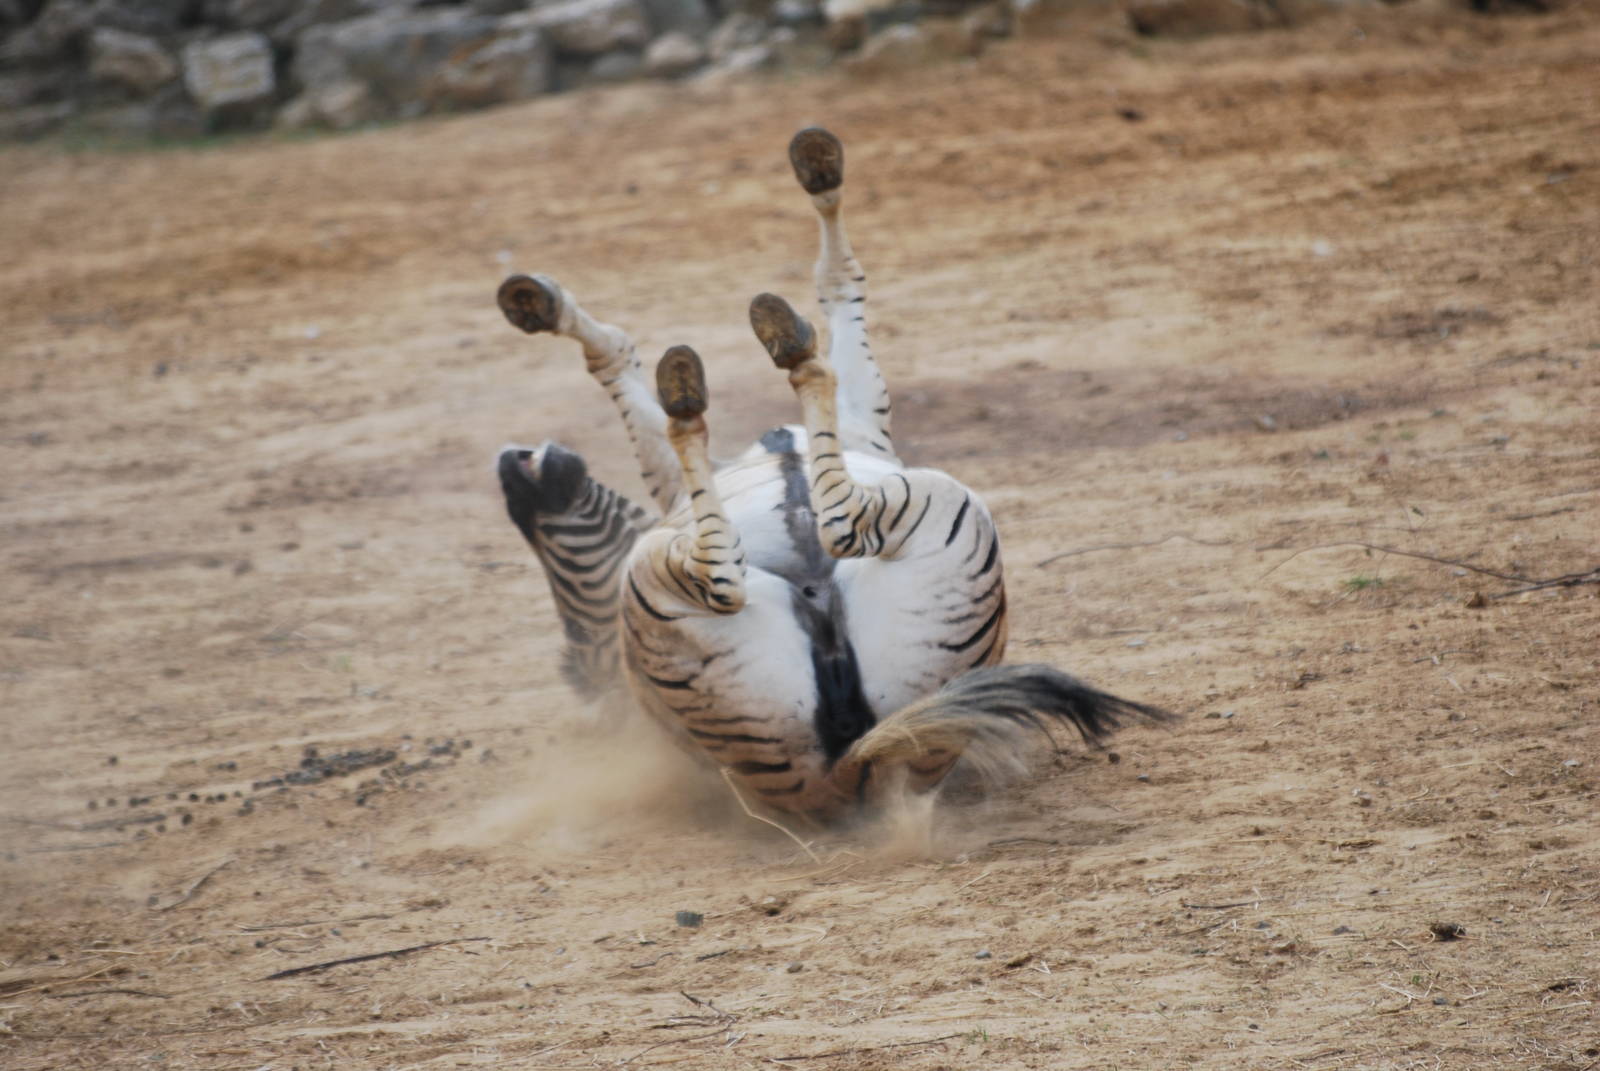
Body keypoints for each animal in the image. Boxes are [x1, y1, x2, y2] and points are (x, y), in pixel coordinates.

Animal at [494, 127, 1171, 823]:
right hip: (929, 517)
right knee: (793, 544)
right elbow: (832, 296)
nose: (511, 473)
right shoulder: (849, 425)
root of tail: (844, 777)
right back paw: (752, 369)